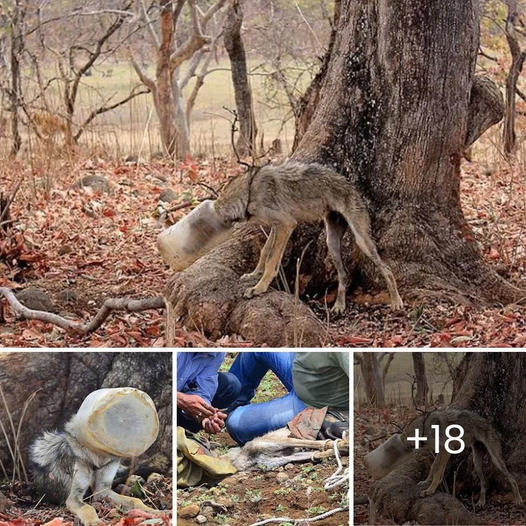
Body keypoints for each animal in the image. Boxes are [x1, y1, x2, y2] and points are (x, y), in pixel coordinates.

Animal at [29, 418, 158, 524]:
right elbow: (87, 508)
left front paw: (152, 511)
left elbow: (134, 500)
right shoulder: (73, 497)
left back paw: (146, 477)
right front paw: (94, 522)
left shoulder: (102, 490)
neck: (97, 459)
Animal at [214, 161, 404, 316]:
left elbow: (271, 261)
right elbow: (265, 252)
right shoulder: (276, 226)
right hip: (331, 244)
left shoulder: (286, 224)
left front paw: (259, 288)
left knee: (387, 270)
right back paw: (339, 306)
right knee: (344, 274)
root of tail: (353, 187)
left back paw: (396, 302)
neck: (250, 190)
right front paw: (254, 274)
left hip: (362, 241)